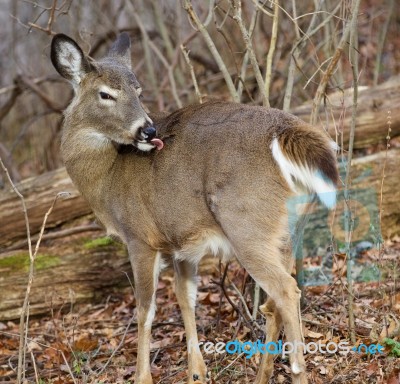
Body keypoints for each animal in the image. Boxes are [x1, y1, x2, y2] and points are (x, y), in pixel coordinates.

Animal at [50, 33, 338, 384]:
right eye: (105, 93)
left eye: (138, 91)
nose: (148, 131)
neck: (108, 178)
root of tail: (285, 133)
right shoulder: (180, 241)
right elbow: (185, 298)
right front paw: (196, 372)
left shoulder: (139, 236)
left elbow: (145, 310)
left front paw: (143, 376)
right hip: (288, 230)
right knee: (273, 302)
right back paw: (262, 374)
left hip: (246, 223)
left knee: (286, 290)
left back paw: (296, 370)